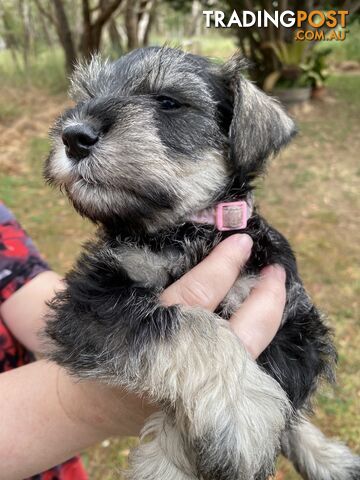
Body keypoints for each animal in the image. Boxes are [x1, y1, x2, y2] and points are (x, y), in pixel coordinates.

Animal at [43, 46, 360, 480]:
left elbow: (281, 391)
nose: (74, 136)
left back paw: (328, 458)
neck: (188, 230)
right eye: (86, 95)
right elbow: (188, 325)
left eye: (167, 102)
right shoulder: (93, 299)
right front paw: (240, 409)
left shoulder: (293, 319)